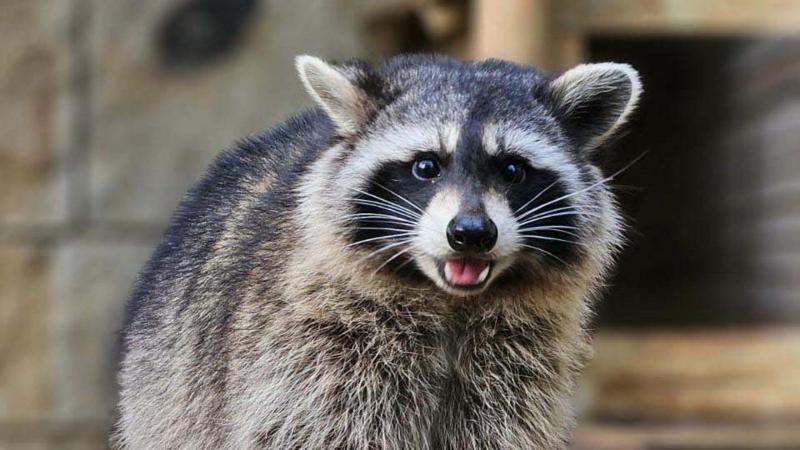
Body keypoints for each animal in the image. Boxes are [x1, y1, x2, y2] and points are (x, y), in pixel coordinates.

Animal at [112, 54, 640, 448]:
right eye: (426, 166)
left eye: (512, 170)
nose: (471, 233)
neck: (450, 302)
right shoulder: (310, 348)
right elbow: (318, 431)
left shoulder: (517, 368)